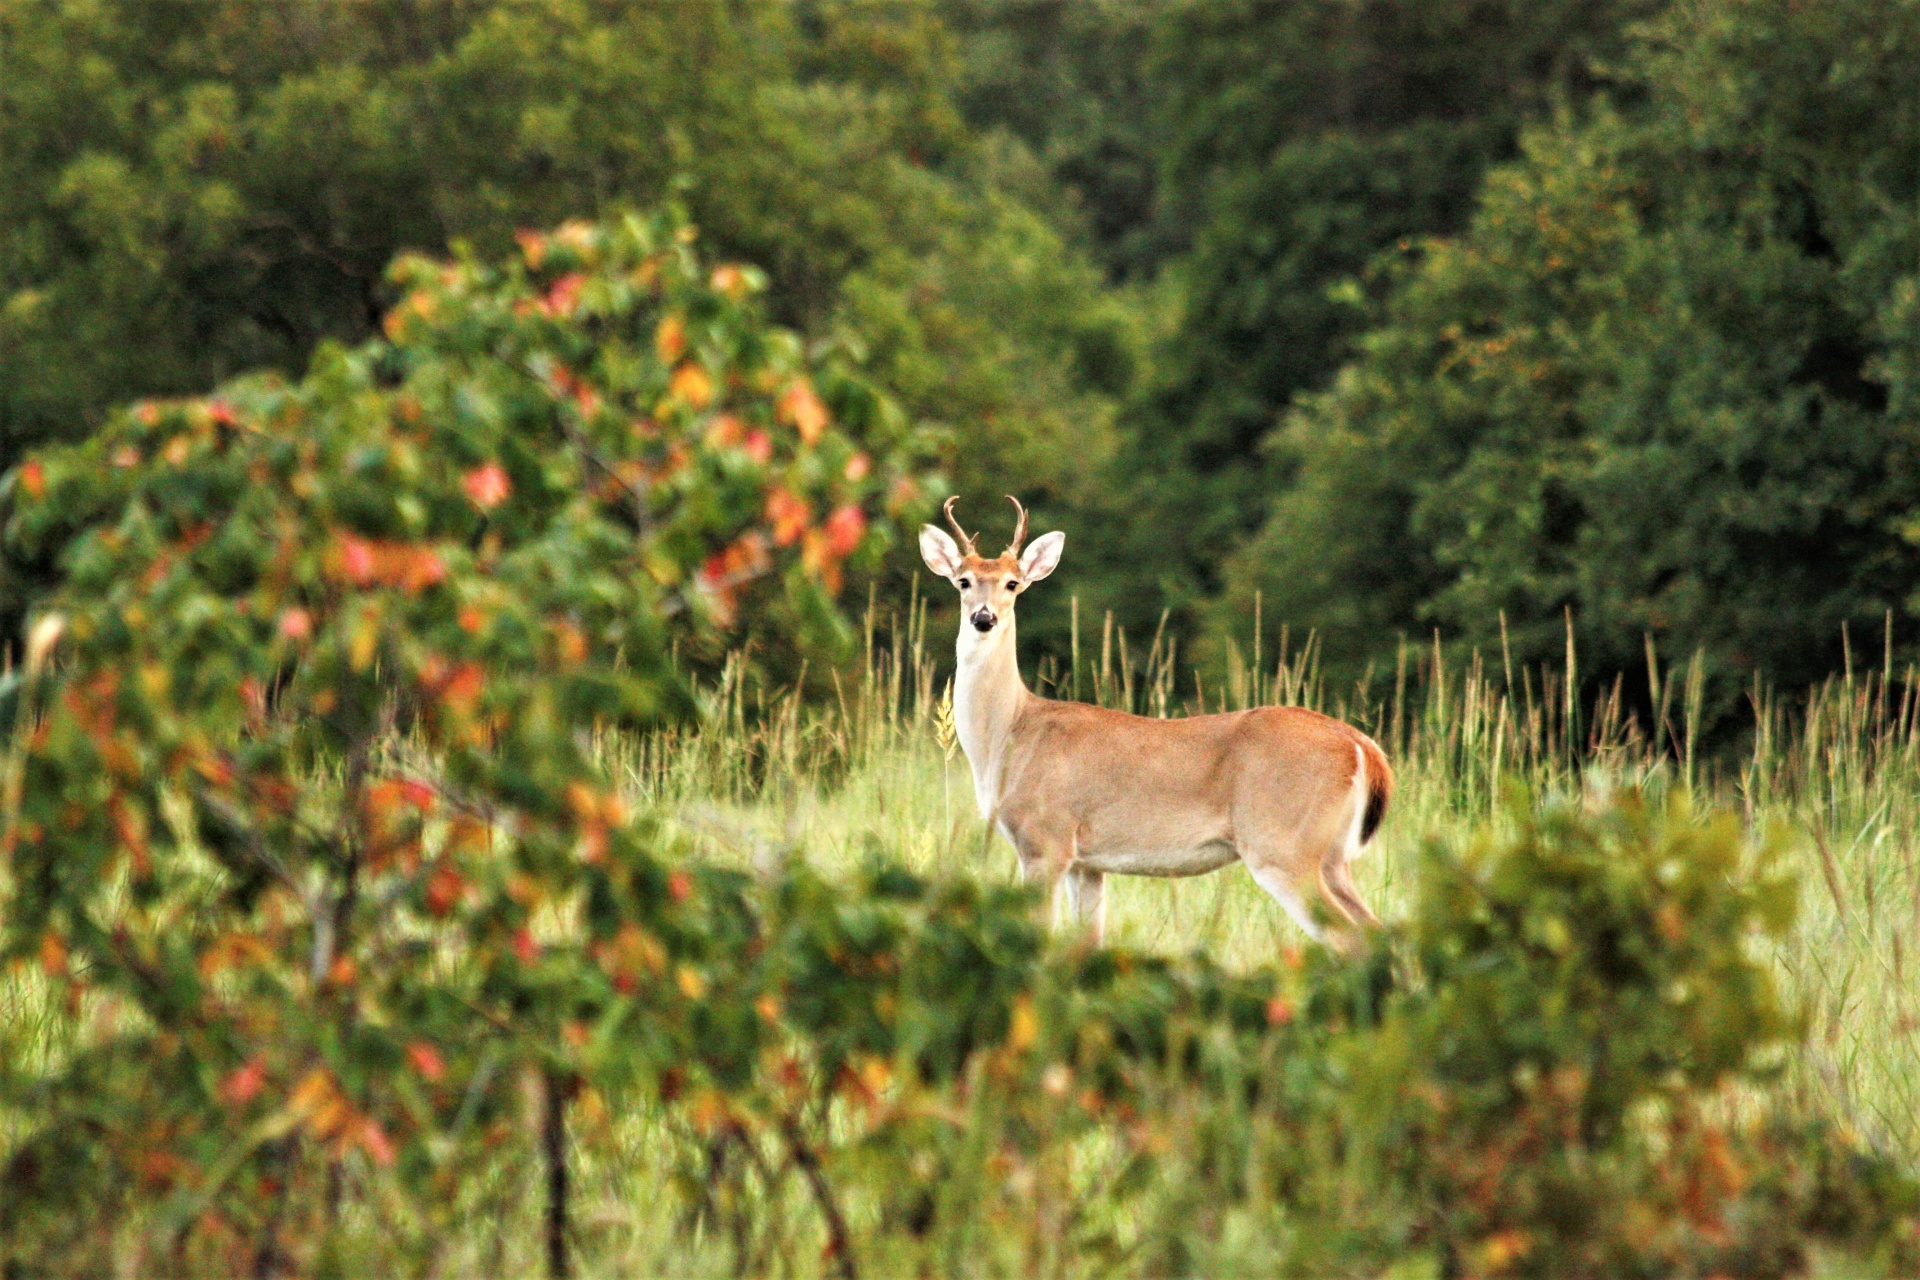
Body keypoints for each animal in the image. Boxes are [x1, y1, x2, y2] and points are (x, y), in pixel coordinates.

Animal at [921, 495, 1390, 948]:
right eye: (963, 580)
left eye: (1012, 583)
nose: (984, 617)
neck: (1009, 735)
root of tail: (1361, 745)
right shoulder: (1087, 863)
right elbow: (1087, 943)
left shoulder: (1045, 839)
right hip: (1331, 857)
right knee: (1376, 929)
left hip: (1284, 846)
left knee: (1349, 938)